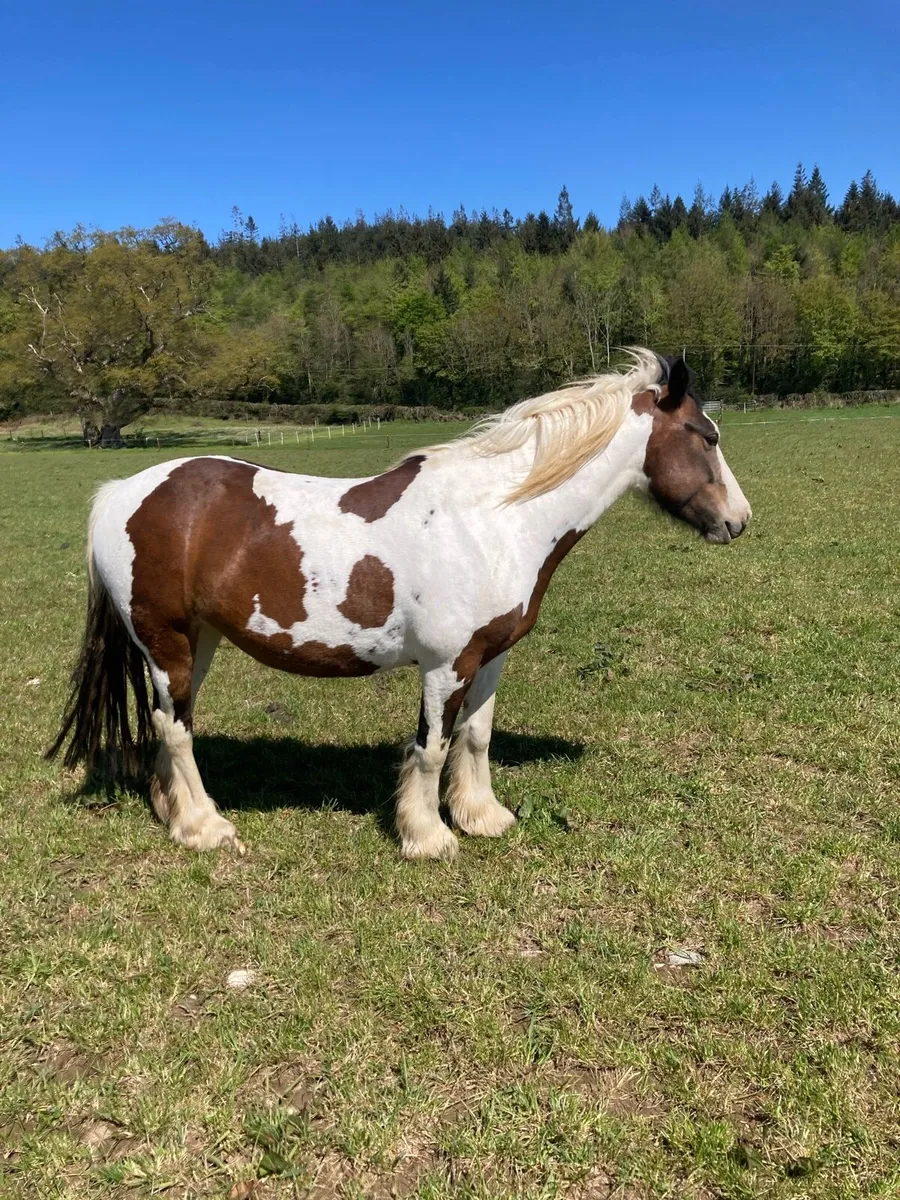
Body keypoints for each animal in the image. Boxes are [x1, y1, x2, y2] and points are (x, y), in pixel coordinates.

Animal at [48, 351, 751, 860]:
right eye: (705, 436)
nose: (738, 521)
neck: (492, 519)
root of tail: (122, 493)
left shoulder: (490, 657)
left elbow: (476, 736)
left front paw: (482, 817)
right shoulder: (446, 664)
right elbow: (432, 746)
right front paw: (427, 835)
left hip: (197, 640)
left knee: (169, 727)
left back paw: (172, 811)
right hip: (166, 641)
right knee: (176, 728)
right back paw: (204, 827)